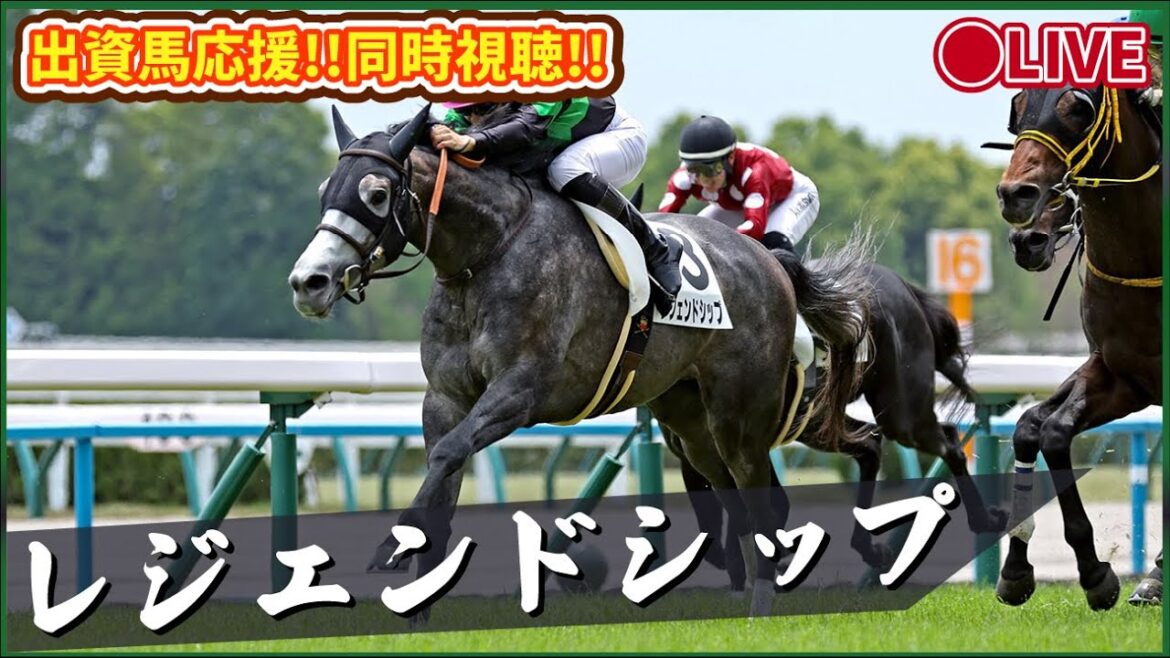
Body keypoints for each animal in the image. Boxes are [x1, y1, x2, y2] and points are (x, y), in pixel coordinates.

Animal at [288, 103, 875, 617]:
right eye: (323, 190)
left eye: (377, 193)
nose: (308, 282)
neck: (486, 255)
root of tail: (769, 259)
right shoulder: (446, 397)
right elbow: (443, 471)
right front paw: (418, 609)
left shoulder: (522, 390)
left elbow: (451, 451)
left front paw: (388, 546)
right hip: (690, 421)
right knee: (735, 496)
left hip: (740, 414)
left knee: (762, 502)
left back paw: (762, 607)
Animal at [989, 82, 1162, 610]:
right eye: (1017, 106)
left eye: (1078, 108)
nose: (1016, 197)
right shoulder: (1122, 374)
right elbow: (1042, 429)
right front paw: (1035, 571)